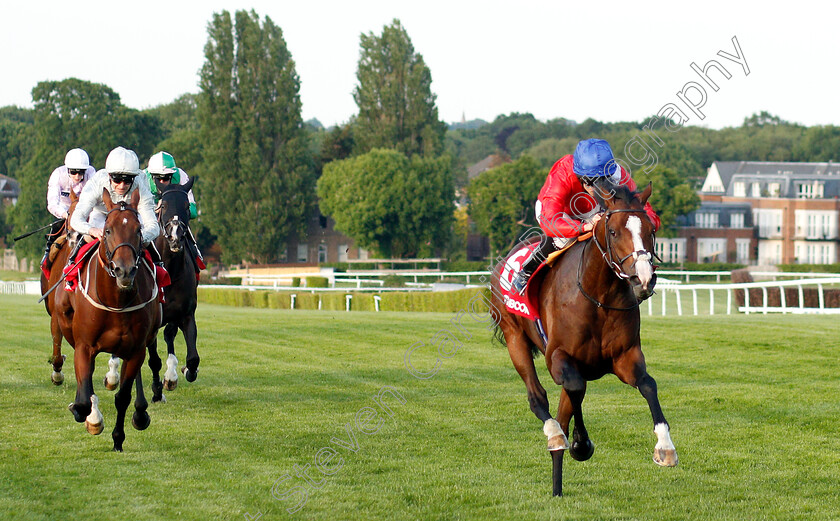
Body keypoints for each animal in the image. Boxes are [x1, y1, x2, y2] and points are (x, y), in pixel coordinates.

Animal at [56, 188, 162, 450]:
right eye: (107, 230)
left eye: (139, 230)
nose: (125, 271)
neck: (116, 301)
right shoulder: (84, 346)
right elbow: (84, 397)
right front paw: (88, 415)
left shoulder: (135, 350)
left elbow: (123, 397)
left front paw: (118, 439)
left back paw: (141, 413)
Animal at [492, 182, 676, 496]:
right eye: (612, 231)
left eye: (651, 229)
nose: (643, 279)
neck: (599, 297)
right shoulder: (558, 358)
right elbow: (575, 388)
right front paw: (581, 444)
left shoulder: (625, 357)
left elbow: (648, 385)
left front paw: (665, 447)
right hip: (514, 335)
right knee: (538, 398)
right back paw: (555, 435)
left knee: (563, 411)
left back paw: (557, 485)